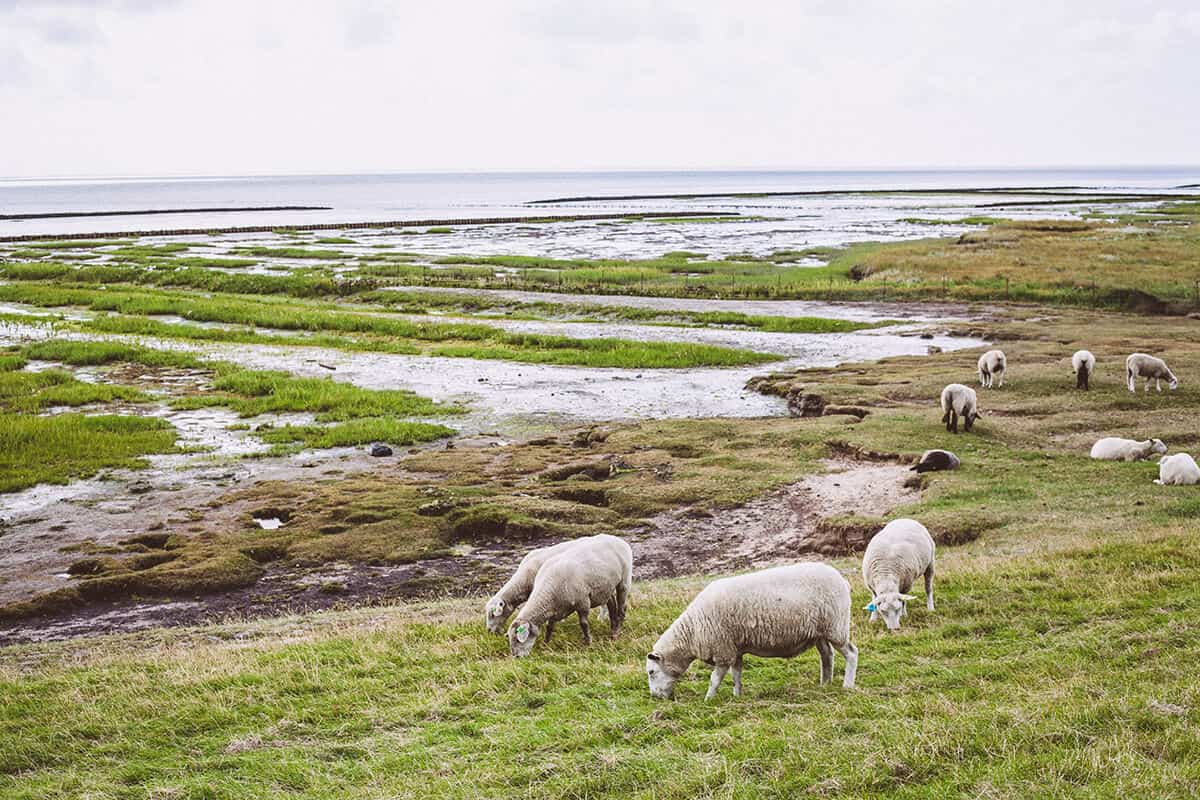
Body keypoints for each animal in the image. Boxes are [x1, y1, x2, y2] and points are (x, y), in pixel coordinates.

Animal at [508, 534, 638, 662]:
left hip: (624, 581)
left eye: (518, 639)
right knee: (612, 605)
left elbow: (583, 624)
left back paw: (616, 633)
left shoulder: (583, 601)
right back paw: (612, 628)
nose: (516, 657)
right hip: (605, 588)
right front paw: (546, 643)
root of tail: (617, 538)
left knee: (622, 608)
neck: (548, 592)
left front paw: (588, 642)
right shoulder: (556, 609)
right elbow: (550, 626)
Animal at [643, 563, 859, 700]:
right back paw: (825, 684)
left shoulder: (723, 650)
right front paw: (737, 695)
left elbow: (715, 679)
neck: (693, 630)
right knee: (827, 656)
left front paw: (708, 699)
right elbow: (736, 675)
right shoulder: (734, 649)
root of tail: (843, 580)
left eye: (651, 672)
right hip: (820, 632)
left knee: (851, 653)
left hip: (836, 626)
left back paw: (847, 685)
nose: (655, 697)